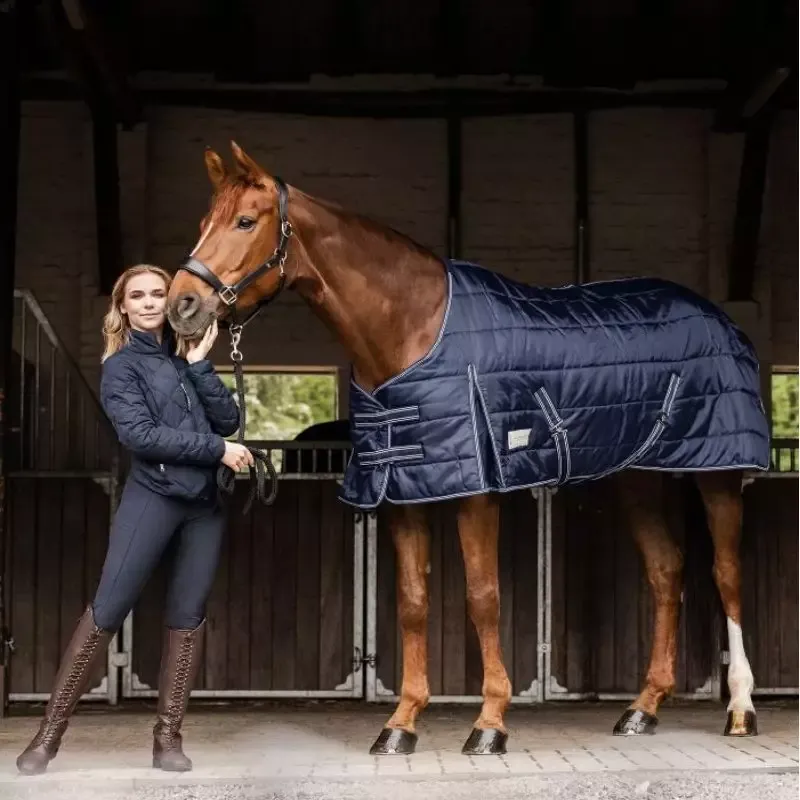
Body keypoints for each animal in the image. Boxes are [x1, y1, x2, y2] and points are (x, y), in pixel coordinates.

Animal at [166, 141, 765, 756]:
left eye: (245, 221)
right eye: (203, 222)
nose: (181, 305)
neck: (412, 327)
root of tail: (717, 317)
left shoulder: (477, 490)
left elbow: (483, 597)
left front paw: (490, 723)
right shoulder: (404, 491)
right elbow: (412, 602)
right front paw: (401, 723)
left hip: (719, 473)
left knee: (726, 573)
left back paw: (740, 708)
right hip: (637, 475)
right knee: (667, 571)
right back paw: (643, 708)